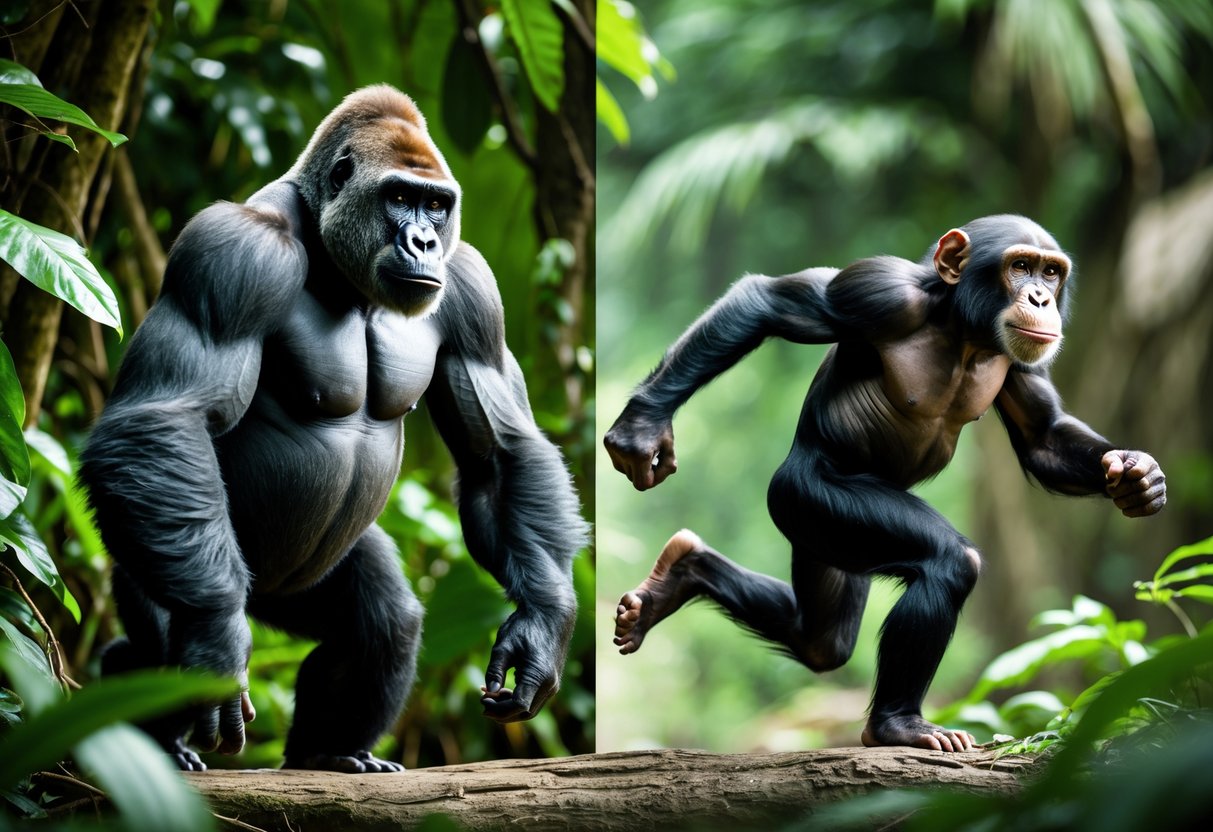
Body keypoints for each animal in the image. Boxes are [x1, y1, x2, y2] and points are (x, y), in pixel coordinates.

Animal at [80, 85, 587, 772]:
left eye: (437, 204)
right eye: (399, 197)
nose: (424, 242)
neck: (330, 249)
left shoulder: (473, 288)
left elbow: (501, 451)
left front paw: (541, 625)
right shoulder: (230, 253)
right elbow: (164, 419)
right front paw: (214, 637)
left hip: (296, 588)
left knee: (386, 620)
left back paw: (329, 753)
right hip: (156, 553)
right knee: (157, 634)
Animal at [604, 215, 1164, 752]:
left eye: (1051, 272)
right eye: (1020, 266)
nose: (1041, 298)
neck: (963, 328)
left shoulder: (1024, 361)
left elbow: (1042, 435)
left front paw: (1138, 476)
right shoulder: (878, 292)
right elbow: (770, 302)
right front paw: (641, 429)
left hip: (824, 544)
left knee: (821, 640)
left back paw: (676, 579)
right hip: (808, 499)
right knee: (940, 566)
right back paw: (896, 726)